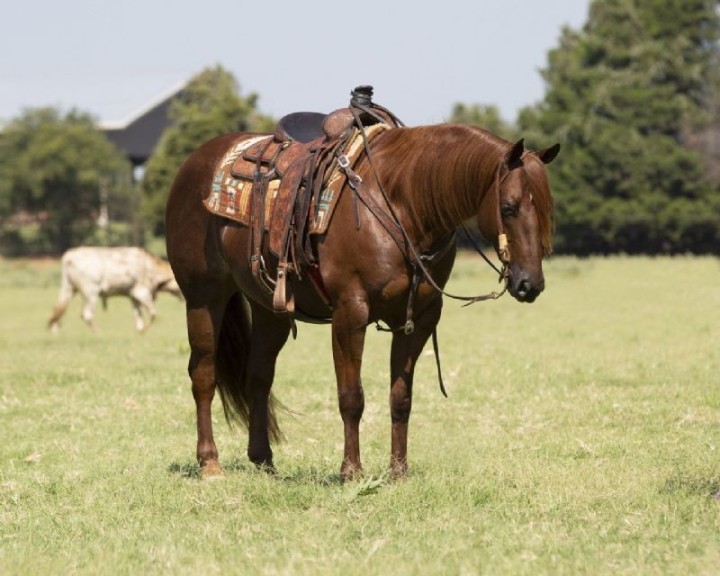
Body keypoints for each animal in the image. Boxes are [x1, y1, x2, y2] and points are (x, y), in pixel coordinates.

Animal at [165, 103, 559, 481]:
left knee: (258, 376)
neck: (403, 206)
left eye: (546, 210)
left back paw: (264, 462)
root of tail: (195, 162)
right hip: (203, 298)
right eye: (508, 207)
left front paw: (398, 472)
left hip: (268, 308)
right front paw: (351, 471)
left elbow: (401, 398)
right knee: (203, 374)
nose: (530, 283)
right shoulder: (350, 313)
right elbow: (351, 397)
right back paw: (210, 463)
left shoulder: (418, 319)